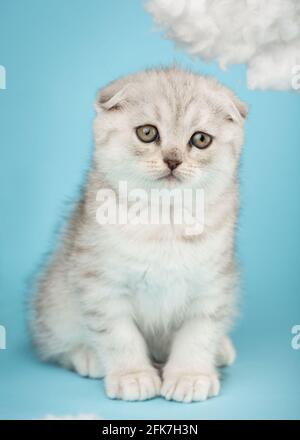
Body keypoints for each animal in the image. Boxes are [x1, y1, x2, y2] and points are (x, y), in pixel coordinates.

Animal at [30, 66, 246, 402]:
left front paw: (190, 375)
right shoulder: (100, 282)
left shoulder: (213, 284)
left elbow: (199, 333)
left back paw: (221, 350)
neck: (164, 220)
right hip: (54, 297)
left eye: (200, 139)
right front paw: (133, 375)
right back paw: (88, 356)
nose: (173, 160)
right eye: (147, 132)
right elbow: (118, 334)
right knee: (55, 342)